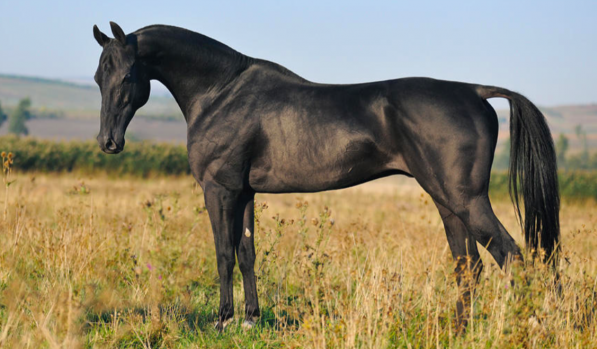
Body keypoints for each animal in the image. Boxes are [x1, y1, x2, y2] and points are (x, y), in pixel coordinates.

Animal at [92, 21, 560, 328]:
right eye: (98, 75)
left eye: (127, 74)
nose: (108, 142)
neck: (221, 92)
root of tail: (475, 91)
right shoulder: (244, 193)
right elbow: (246, 253)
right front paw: (250, 320)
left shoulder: (219, 190)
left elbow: (223, 253)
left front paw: (222, 321)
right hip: (447, 202)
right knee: (470, 267)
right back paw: (461, 329)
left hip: (466, 200)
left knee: (512, 256)